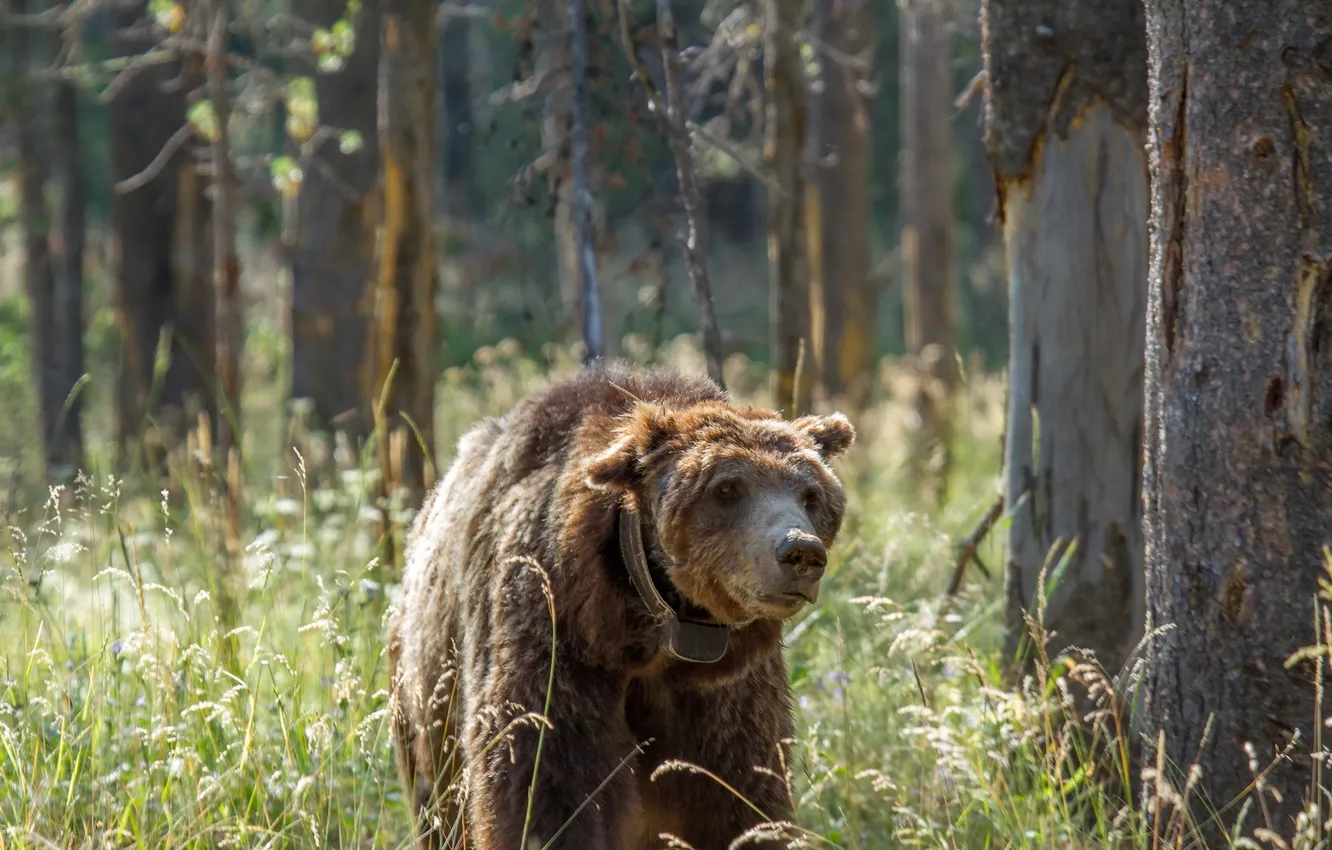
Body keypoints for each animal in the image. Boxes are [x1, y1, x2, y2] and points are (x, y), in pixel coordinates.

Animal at [388, 364, 855, 850]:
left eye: (811, 494)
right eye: (728, 487)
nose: (800, 551)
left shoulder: (725, 695)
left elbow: (740, 799)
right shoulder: (558, 637)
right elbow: (544, 782)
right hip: (425, 698)